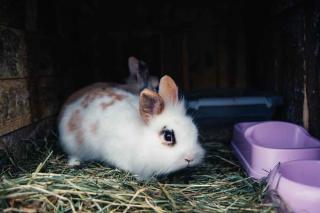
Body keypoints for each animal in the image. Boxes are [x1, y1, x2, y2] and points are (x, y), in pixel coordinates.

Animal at [58, 75, 204, 180]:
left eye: (194, 129)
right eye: (168, 136)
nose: (190, 158)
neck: (143, 137)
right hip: (73, 144)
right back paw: (75, 163)